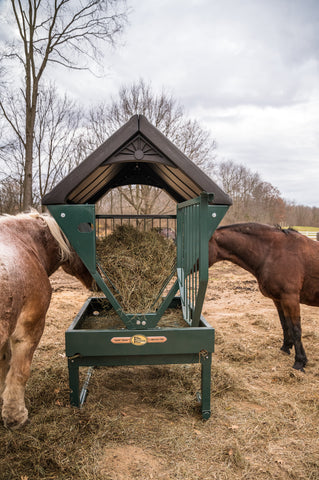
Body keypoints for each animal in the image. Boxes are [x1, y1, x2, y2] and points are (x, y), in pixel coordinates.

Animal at [210, 224, 319, 372]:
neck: (273, 253)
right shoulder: (279, 300)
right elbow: (285, 324)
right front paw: (285, 348)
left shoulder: (290, 299)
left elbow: (296, 329)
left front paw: (299, 362)